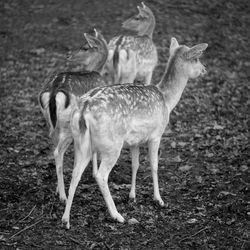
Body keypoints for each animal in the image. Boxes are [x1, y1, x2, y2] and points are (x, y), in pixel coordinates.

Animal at [37, 29, 108, 201]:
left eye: (85, 47)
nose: (68, 55)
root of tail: (54, 92)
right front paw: (94, 172)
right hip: (67, 124)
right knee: (58, 152)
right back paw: (63, 196)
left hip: (51, 123)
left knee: (55, 148)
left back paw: (58, 189)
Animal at [61, 36, 208, 229]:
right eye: (197, 59)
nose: (204, 69)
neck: (167, 100)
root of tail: (84, 109)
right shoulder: (156, 135)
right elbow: (154, 165)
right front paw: (159, 199)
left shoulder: (134, 141)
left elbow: (135, 165)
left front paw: (132, 196)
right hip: (111, 144)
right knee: (101, 175)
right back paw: (117, 215)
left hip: (81, 142)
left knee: (75, 173)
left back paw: (65, 219)